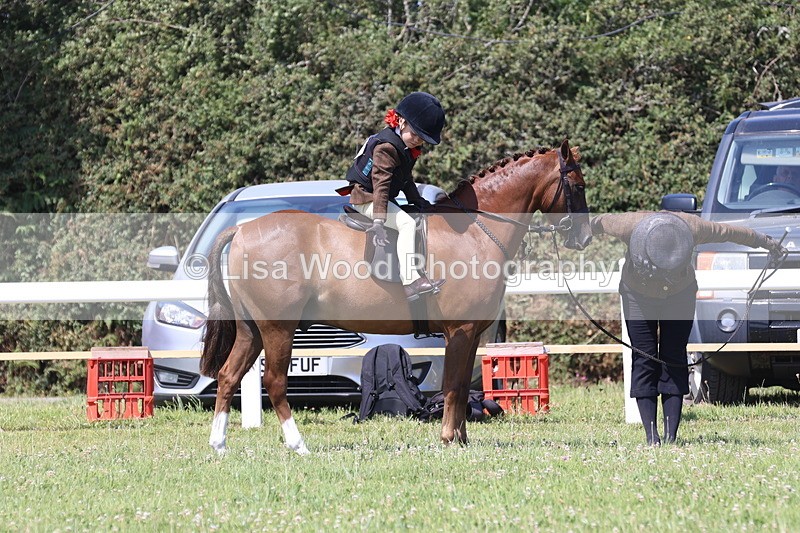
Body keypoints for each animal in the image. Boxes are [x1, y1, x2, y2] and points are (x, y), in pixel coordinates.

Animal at [200, 139, 591, 455]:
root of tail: (242, 231)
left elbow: (462, 385)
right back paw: (298, 445)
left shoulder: (472, 335)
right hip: (278, 329)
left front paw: (461, 439)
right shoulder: (459, 332)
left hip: (251, 330)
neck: (473, 232)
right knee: (275, 383)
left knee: (228, 376)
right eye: (577, 185)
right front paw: (448, 438)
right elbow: (452, 386)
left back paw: (219, 445)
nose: (584, 238)